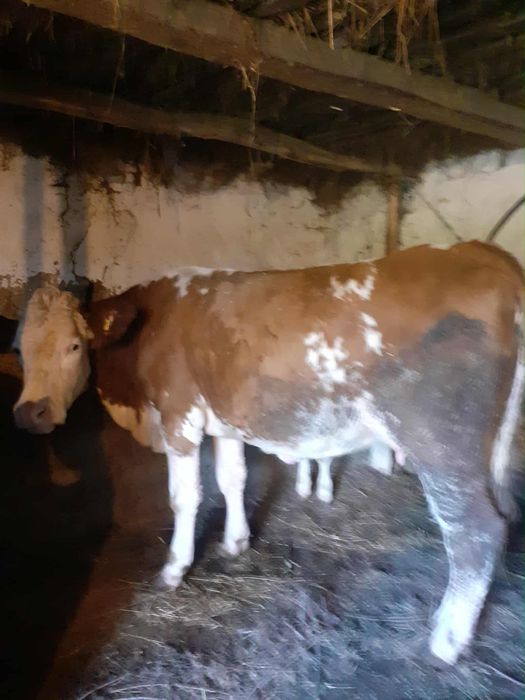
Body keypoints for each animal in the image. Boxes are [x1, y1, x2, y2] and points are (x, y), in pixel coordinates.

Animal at [13, 241, 523, 666]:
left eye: (74, 345)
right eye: (20, 349)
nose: (28, 413)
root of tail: (478, 252)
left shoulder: (179, 417)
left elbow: (185, 496)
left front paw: (175, 568)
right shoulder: (224, 420)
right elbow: (232, 478)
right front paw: (237, 541)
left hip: (441, 443)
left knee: (476, 530)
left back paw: (446, 640)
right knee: (503, 516)